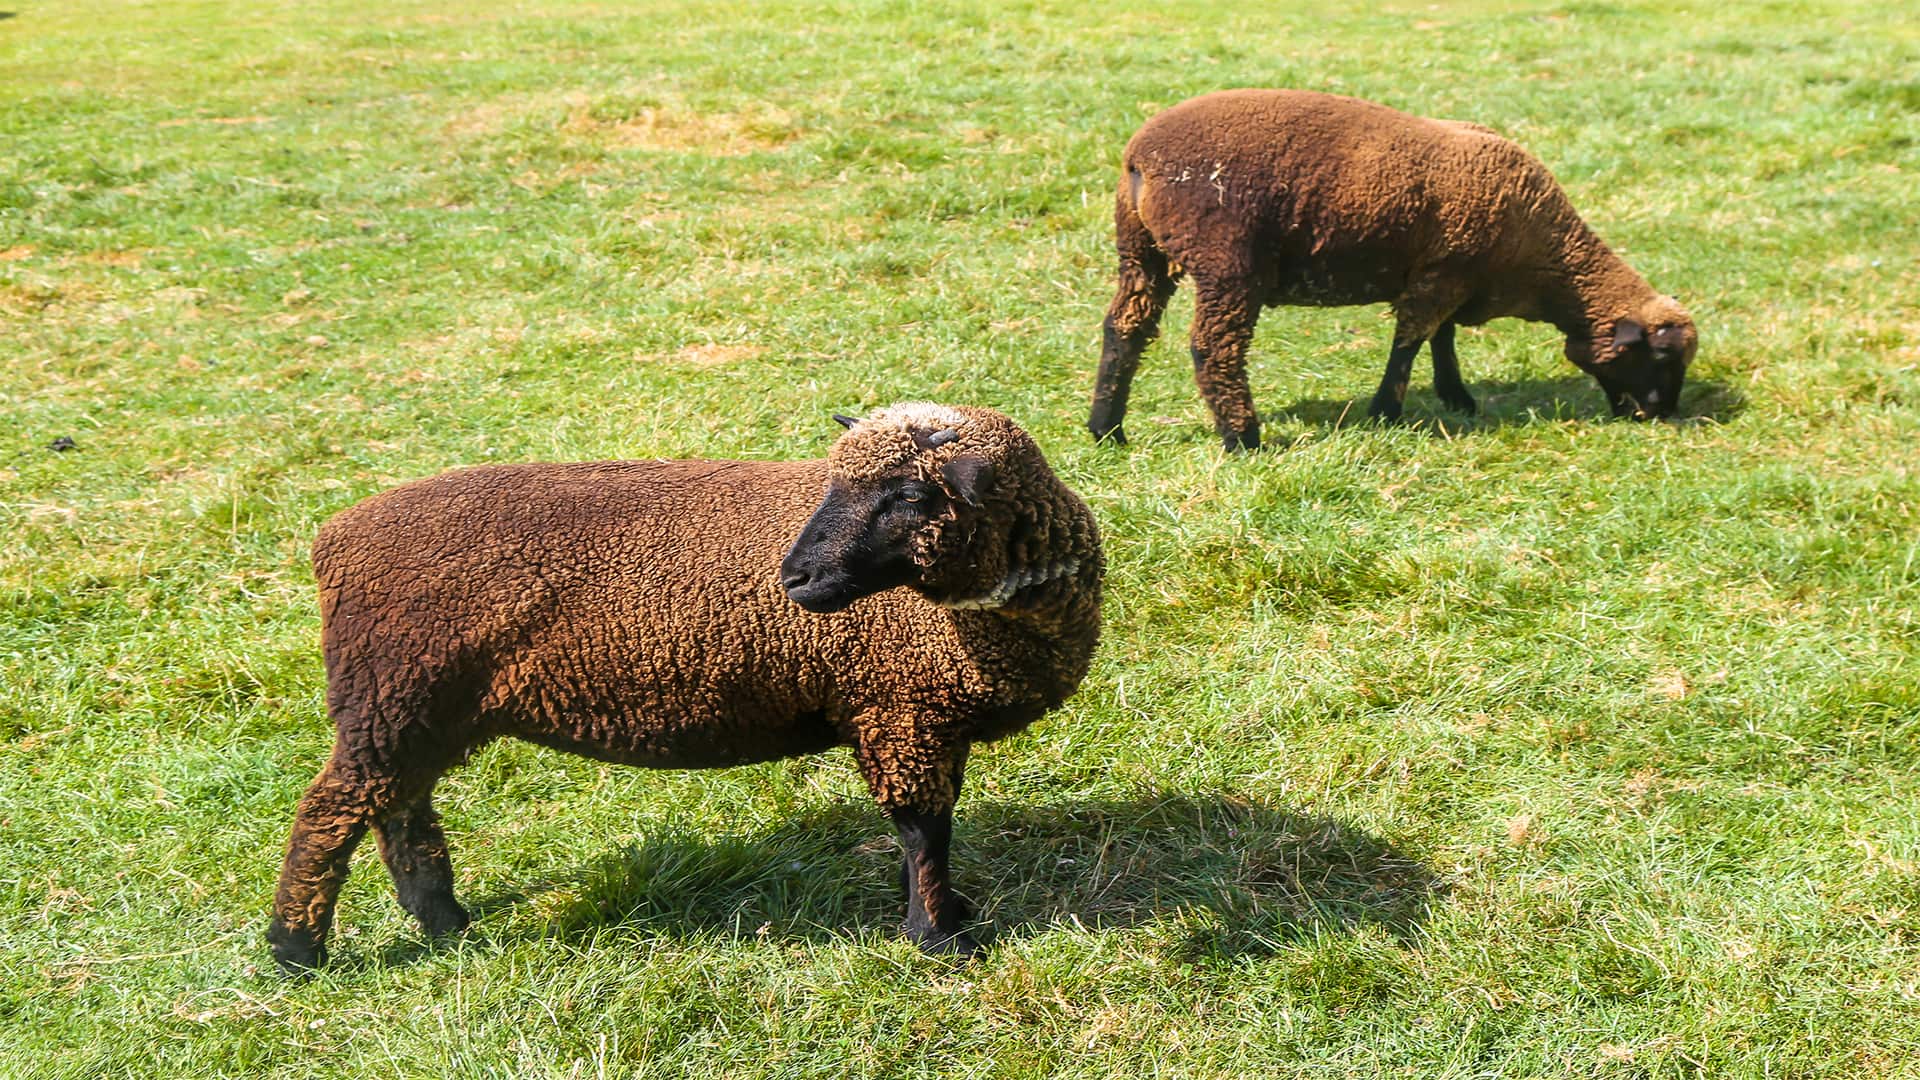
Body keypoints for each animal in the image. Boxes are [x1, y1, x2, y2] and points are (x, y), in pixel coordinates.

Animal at [266, 403, 1104, 972]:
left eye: (907, 495)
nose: (794, 579)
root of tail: (334, 538)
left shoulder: (921, 716)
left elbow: (925, 829)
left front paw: (941, 912)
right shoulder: (901, 710)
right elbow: (924, 830)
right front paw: (940, 940)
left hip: (416, 710)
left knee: (398, 810)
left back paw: (444, 922)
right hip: (394, 696)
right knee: (329, 813)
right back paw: (295, 950)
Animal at [1087, 89, 1699, 451]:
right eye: (1660, 356)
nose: (1662, 415)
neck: (1544, 261)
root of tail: (1141, 158)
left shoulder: (1448, 272)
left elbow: (1442, 338)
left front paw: (1457, 397)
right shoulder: (1442, 273)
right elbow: (1411, 340)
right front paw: (1387, 411)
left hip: (1141, 251)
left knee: (1124, 328)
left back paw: (1107, 429)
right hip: (1227, 261)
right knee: (1214, 347)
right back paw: (1244, 439)